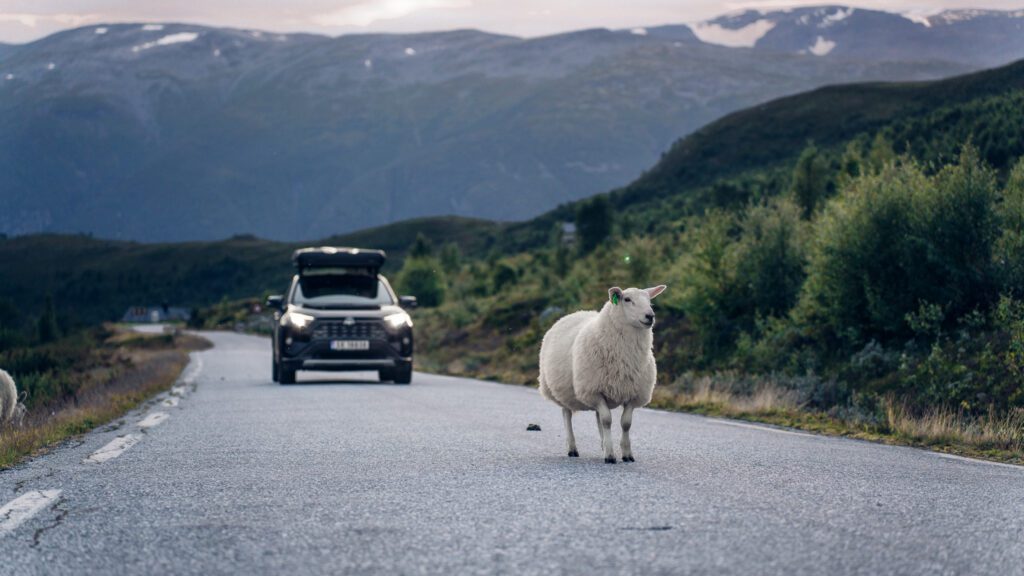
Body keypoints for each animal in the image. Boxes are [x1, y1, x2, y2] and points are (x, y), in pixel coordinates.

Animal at [540, 282, 667, 461]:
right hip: (562, 390)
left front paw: (626, 454)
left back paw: (602, 445)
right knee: (567, 415)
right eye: (627, 299)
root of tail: (576, 313)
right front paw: (610, 455)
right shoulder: (593, 390)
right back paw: (572, 448)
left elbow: (625, 423)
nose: (650, 316)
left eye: (650, 300)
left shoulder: (633, 393)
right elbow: (607, 420)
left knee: (597, 417)